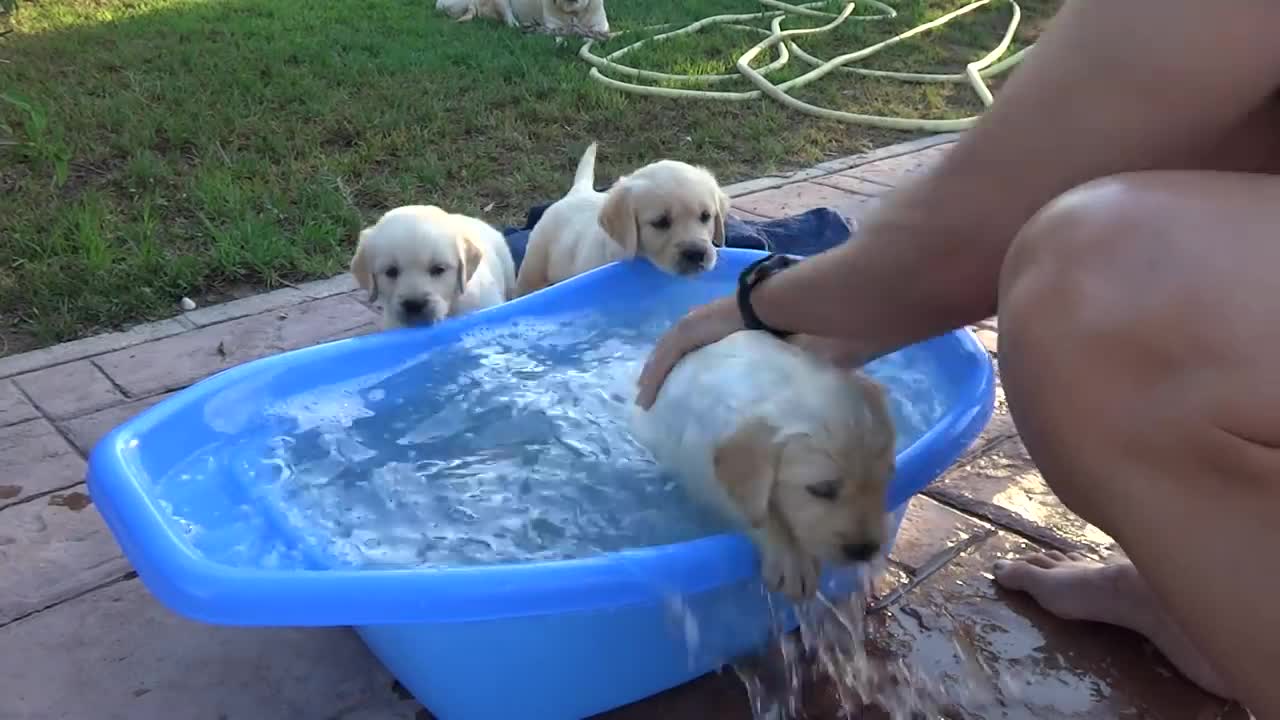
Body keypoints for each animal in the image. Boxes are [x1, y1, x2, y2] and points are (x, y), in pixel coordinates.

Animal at [632, 330, 901, 599]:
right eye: (822, 490)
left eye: (885, 480)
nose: (866, 550)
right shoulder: (701, 469)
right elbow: (754, 510)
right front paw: (791, 557)